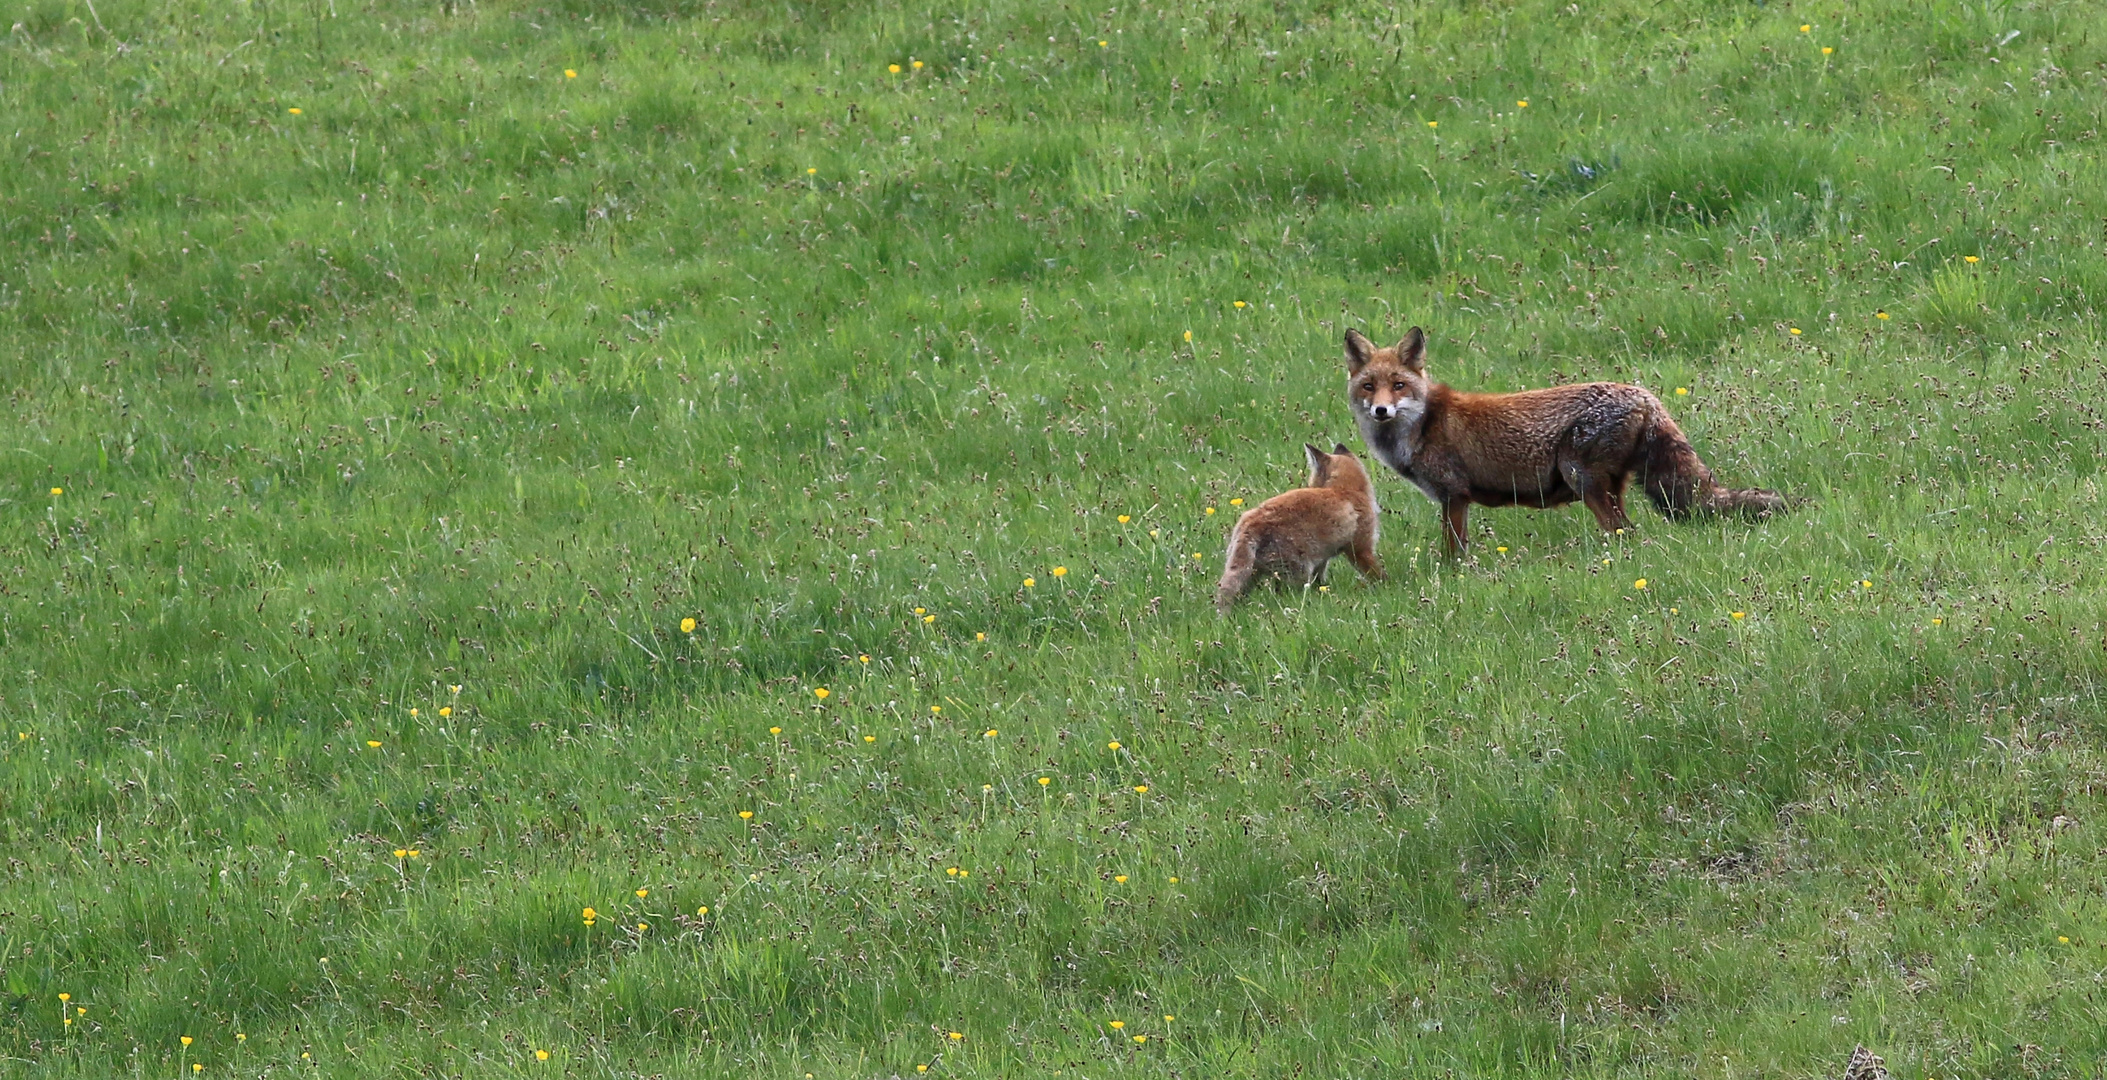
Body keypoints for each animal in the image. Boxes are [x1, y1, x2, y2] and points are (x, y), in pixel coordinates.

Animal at [1222, 444, 1382, 614]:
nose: (1309, 487)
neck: (1346, 491)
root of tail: (1250, 523)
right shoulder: (1359, 548)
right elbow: (1376, 573)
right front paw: (1384, 587)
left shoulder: (1322, 559)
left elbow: (1320, 580)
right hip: (1298, 572)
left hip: (1252, 573)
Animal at [1348, 324, 1778, 551]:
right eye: (1369, 386)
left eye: (1399, 385)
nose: (1380, 410)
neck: (1422, 425)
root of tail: (1646, 396)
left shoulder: (1454, 495)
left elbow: (1452, 553)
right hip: (1606, 486)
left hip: (1580, 478)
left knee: (1624, 532)